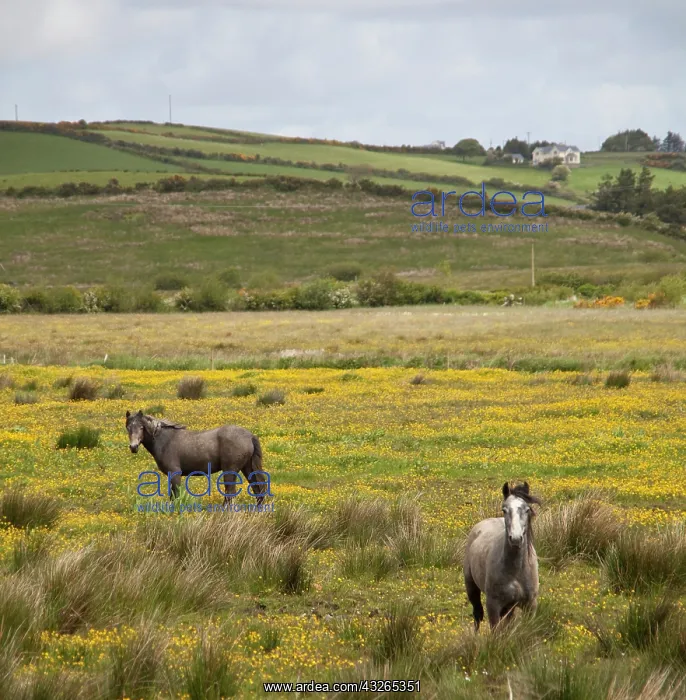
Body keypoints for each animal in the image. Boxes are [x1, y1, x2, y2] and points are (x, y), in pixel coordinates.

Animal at [125, 410, 268, 505]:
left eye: (141, 427)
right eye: (128, 428)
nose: (133, 447)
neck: (165, 439)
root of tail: (249, 435)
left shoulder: (175, 473)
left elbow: (175, 496)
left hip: (230, 471)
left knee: (230, 495)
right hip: (247, 469)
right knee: (257, 492)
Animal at [463, 481, 541, 631]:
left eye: (527, 509)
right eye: (504, 510)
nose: (516, 538)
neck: (516, 571)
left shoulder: (530, 605)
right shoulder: (493, 606)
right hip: (471, 587)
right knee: (477, 615)